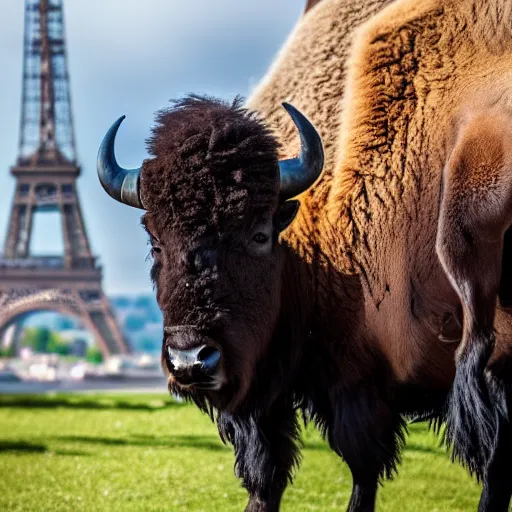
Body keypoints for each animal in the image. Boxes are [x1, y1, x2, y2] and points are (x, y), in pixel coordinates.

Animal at [95, 1, 512, 512]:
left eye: (259, 234)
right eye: (156, 242)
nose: (191, 360)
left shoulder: (357, 381)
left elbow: (364, 469)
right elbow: (267, 476)